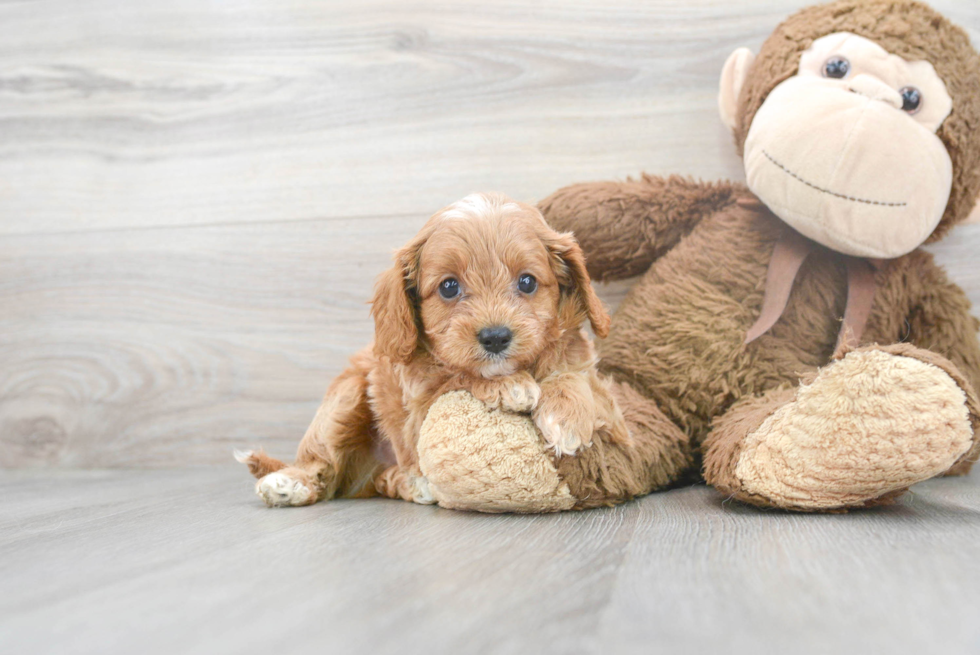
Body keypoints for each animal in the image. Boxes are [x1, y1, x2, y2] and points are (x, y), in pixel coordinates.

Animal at [236, 191, 620, 508]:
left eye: (527, 282)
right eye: (449, 287)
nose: (495, 337)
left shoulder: (599, 386)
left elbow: (575, 377)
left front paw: (565, 416)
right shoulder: (418, 412)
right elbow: (455, 378)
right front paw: (508, 386)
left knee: (379, 481)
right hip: (346, 397)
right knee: (322, 465)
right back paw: (290, 484)